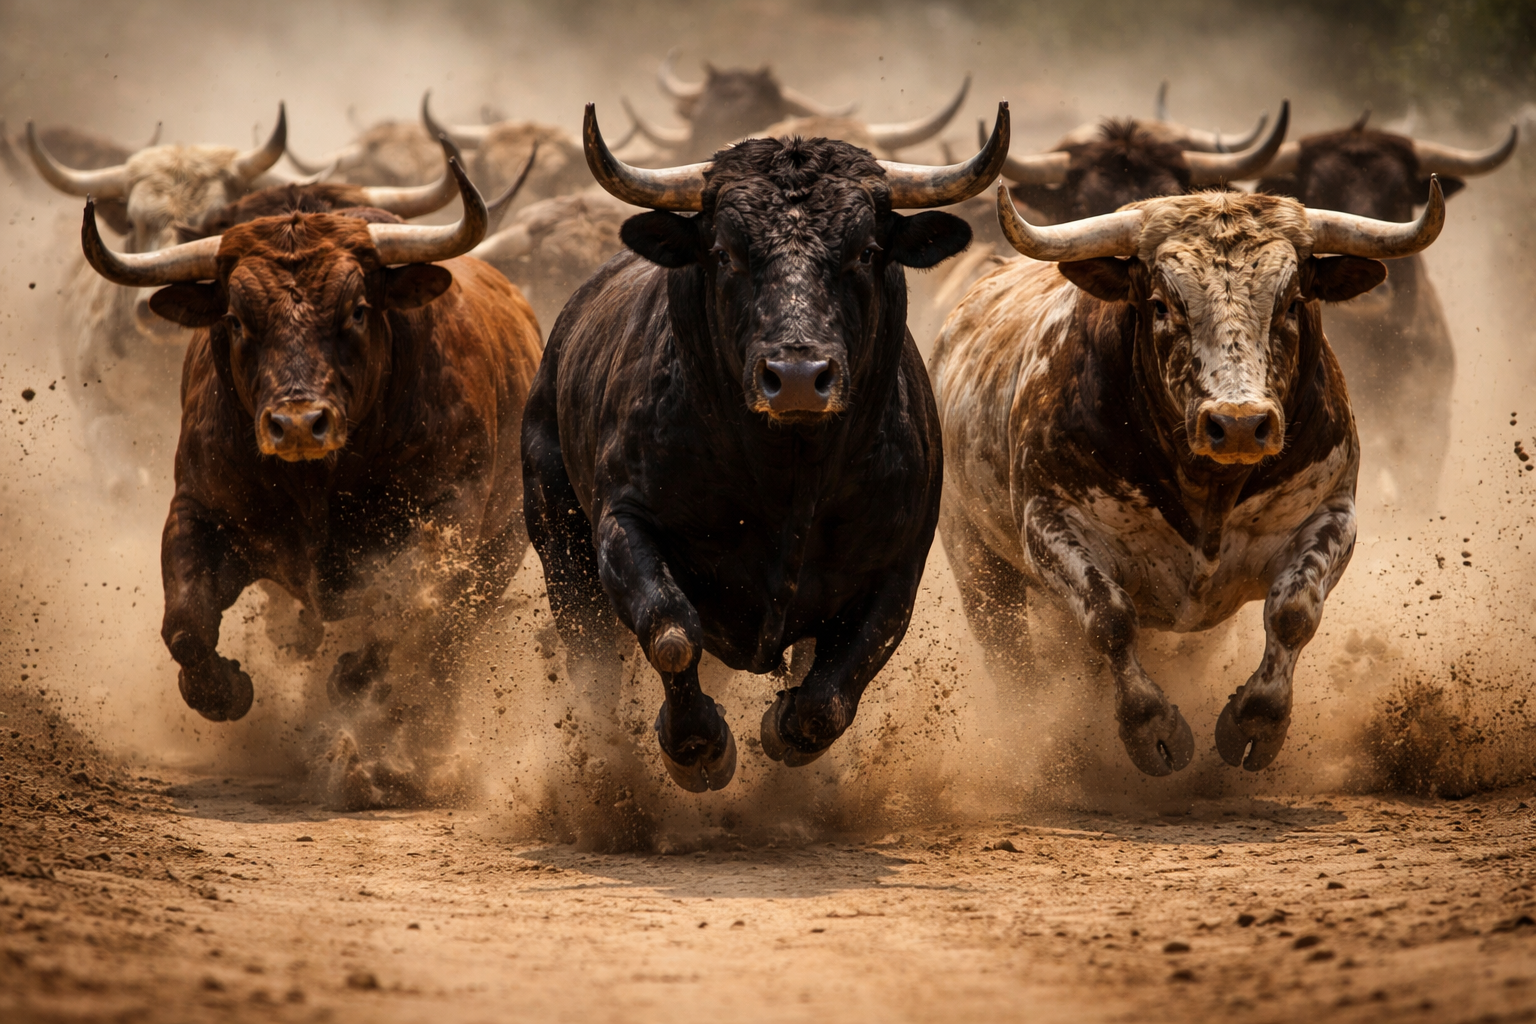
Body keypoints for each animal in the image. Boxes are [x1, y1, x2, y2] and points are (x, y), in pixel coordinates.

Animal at [77, 156, 541, 804]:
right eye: (236, 318)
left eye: (357, 309)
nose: (298, 423)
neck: (318, 482)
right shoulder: (196, 510)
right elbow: (187, 625)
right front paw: (227, 691)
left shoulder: (445, 516)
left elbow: (406, 612)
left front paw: (352, 682)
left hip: (498, 555)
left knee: (448, 646)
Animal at [520, 103, 1008, 792]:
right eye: (725, 251)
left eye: (866, 250)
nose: (798, 376)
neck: (786, 473)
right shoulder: (623, 525)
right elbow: (672, 631)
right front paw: (696, 746)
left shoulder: (899, 569)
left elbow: (829, 695)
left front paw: (782, 730)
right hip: (558, 538)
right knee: (592, 662)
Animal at [929, 178, 1447, 776]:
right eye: (1160, 304)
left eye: (1293, 302)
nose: (1239, 424)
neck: (1209, 490)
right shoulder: (1050, 523)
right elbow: (1110, 618)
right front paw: (1151, 728)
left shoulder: (1331, 514)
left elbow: (1293, 612)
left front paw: (1256, 722)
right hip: (976, 560)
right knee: (1009, 649)